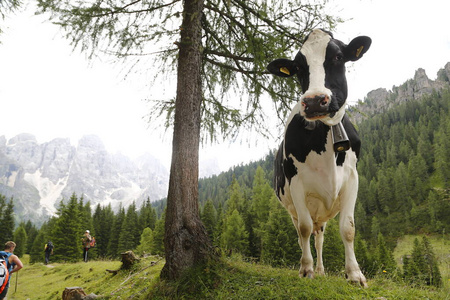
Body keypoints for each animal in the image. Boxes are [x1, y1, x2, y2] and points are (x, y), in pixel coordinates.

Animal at [268, 29, 370, 288]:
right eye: (298, 68)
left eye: (337, 57)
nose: (314, 100)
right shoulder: (296, 183)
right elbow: (304, 229)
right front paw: (306, 270)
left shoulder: (352, 178)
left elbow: (348, 228)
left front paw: (354, 274)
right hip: (293, 209)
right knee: (303, 234)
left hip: (322, 218)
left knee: (319, 239)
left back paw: (322, 270)